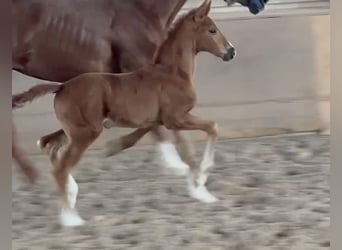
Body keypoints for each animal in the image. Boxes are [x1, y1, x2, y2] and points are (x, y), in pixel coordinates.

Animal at [14, 0, 238, 227]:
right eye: (212, 30)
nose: (231, 51)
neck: (173, 72)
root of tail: (62, 86)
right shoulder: (175, 118)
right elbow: (209, 129)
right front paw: (201, 178)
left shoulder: (159, 119)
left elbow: (159, 136)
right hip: (85, 133)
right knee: (60, 167)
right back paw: (71, 219)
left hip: (74, 130)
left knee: (48, 145)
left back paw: (68, 196)